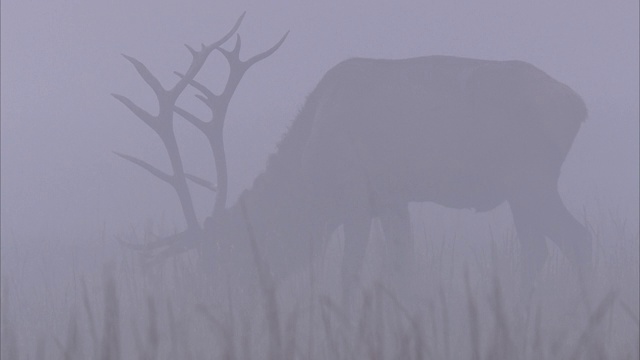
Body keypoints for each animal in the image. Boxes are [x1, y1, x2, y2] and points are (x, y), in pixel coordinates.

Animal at [115, 14, 592, 306]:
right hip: (523, 189)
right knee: (543, 247)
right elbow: (402, 265)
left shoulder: (354, 200)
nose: (216, 300)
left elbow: (348, 275)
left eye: (225, 253)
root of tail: (577, 104)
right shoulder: (392, 200)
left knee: (573, 239)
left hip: (531, 179)